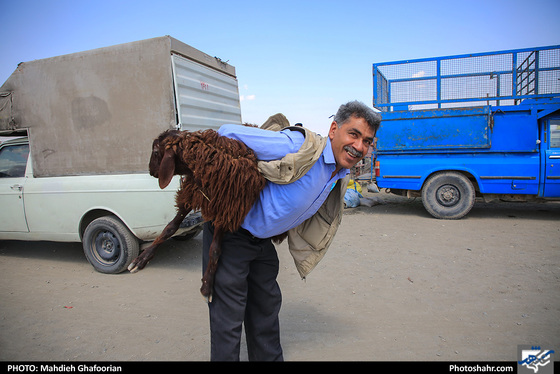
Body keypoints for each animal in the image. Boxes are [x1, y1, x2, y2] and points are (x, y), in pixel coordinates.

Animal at [129, 128, 282, 300]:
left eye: (155, 151)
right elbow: (170, 228)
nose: (151, 171)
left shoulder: (225, 210)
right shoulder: (192, 194)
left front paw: (207, 285)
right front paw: (141, 259)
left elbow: (215, 250)